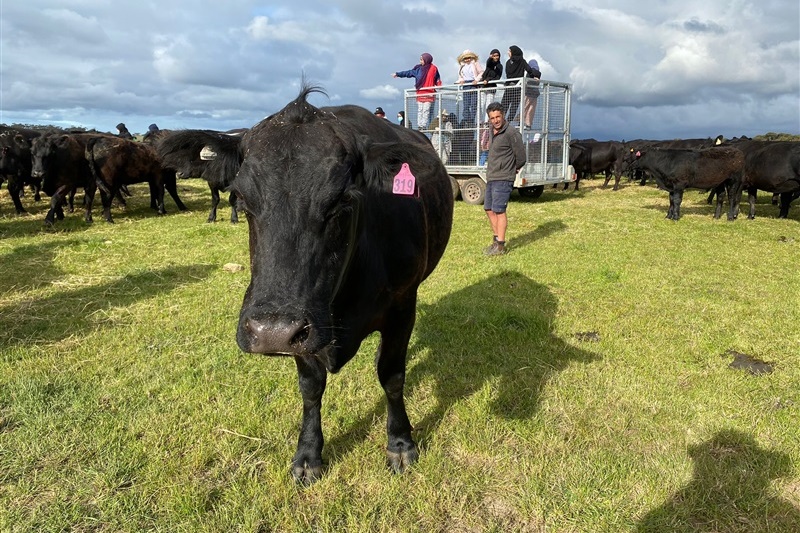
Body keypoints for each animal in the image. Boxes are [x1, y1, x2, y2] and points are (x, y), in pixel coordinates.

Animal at [216, 85, 454, 484]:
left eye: (342, 201)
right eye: (242, 200)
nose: (271, 331)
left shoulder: (403, 305)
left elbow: (392, 376)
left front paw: (400, 444)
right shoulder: (304, 328)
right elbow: (311, 388)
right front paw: (308, 454)